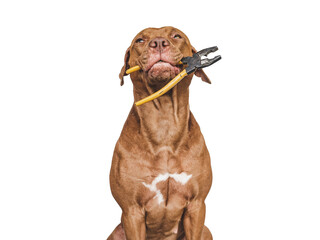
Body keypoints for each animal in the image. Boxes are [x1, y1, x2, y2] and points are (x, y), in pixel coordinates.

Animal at [109, 26, 214, 240]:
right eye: (140, 40)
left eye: (176, 36)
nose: (158, 43)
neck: (164, 125)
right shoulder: (132, 211)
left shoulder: (197, 206)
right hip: (116, 232)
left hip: (206, 230)